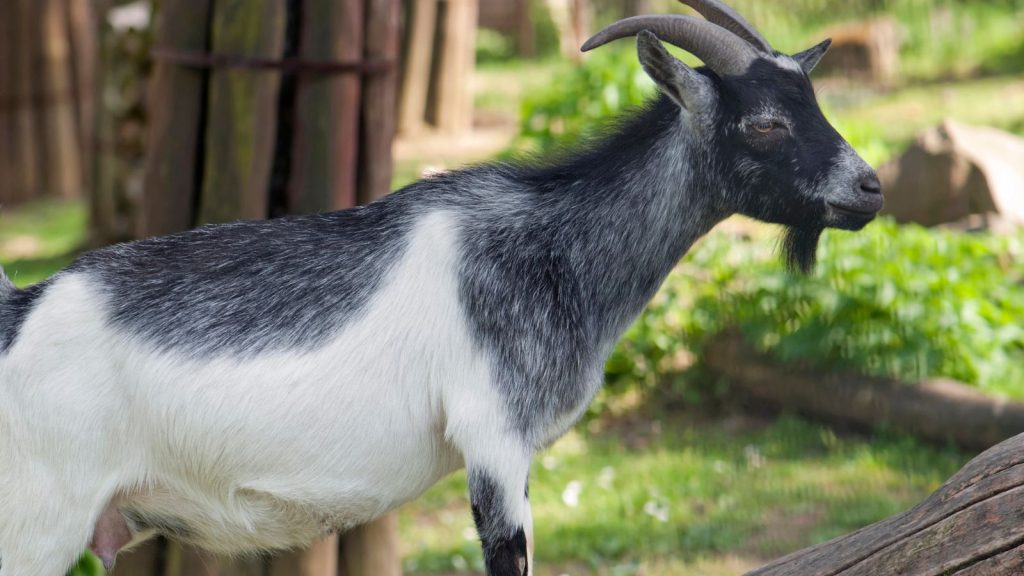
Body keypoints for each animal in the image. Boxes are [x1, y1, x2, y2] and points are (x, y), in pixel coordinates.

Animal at [0, 1, 882, 575]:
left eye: (814, 101)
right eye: (764, 122)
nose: (870, 188)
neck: (548, 245)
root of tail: (20, 311)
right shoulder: (492, 435)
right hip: (38, 520)